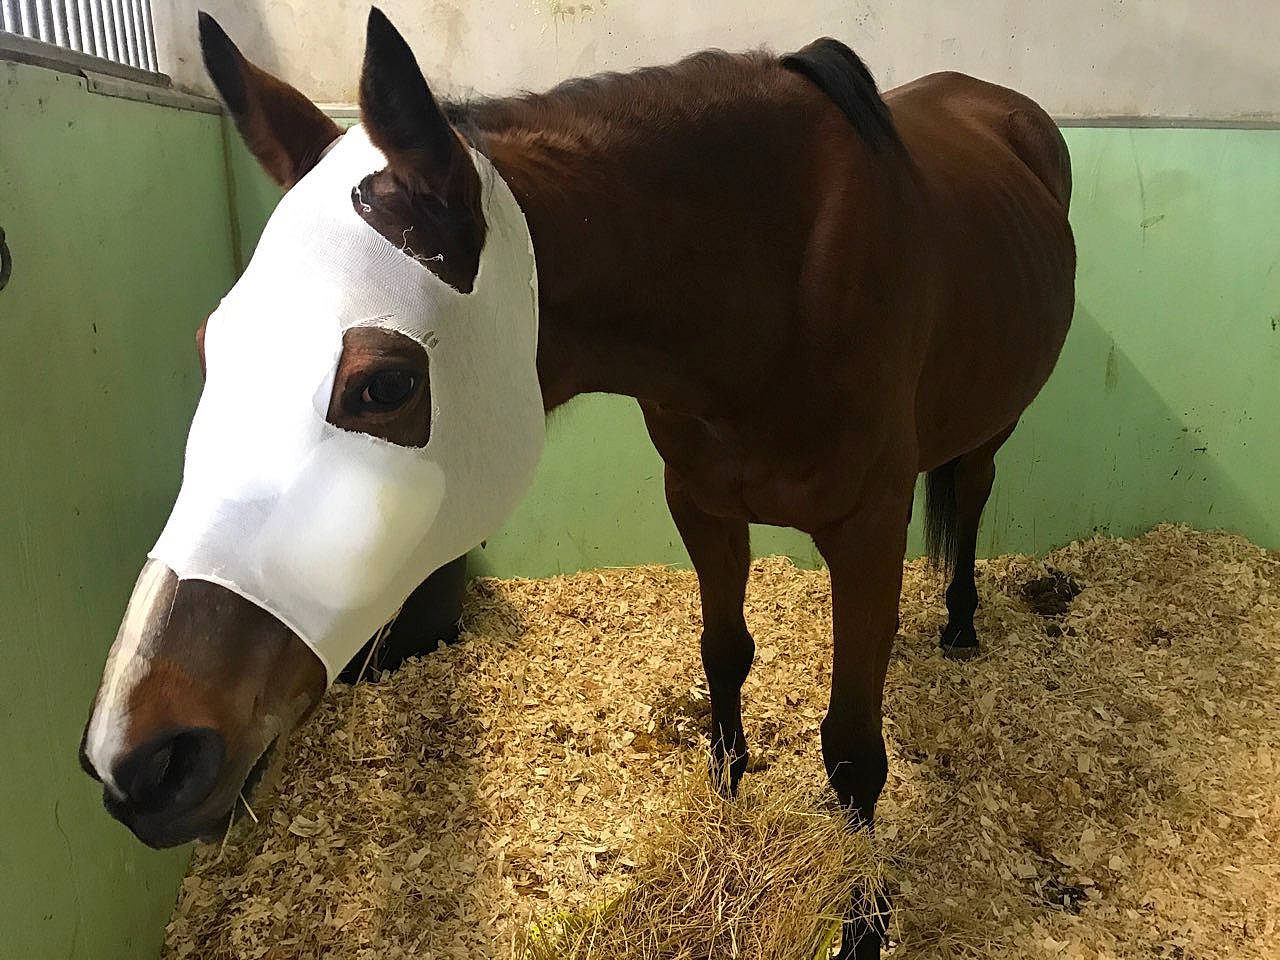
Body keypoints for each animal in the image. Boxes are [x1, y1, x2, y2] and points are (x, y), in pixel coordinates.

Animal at [80, 9, 1074, 958]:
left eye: (384, 386)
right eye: (212, 350)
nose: (142, 756)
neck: (778, 280)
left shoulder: (868, 528)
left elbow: (854, 751)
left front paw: (861, 923)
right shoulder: (701, 504)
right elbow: (725, 653)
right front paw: (726, 808)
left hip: (995, 429)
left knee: (973, 494)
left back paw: (960, 623)